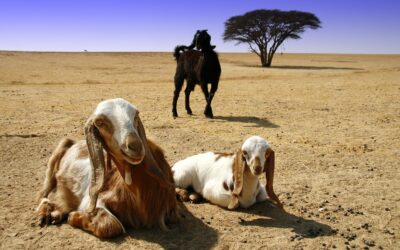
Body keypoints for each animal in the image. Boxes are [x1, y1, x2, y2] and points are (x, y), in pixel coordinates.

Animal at [36, 97, 180, 238]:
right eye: (100, 122)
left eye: (136, 115)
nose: (135, 147)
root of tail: (73, 142)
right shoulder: (93, 199)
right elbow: (113, 224)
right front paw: (74, 215)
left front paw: (71, 215)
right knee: (45, 194)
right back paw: (46, 213)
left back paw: (55, 214)